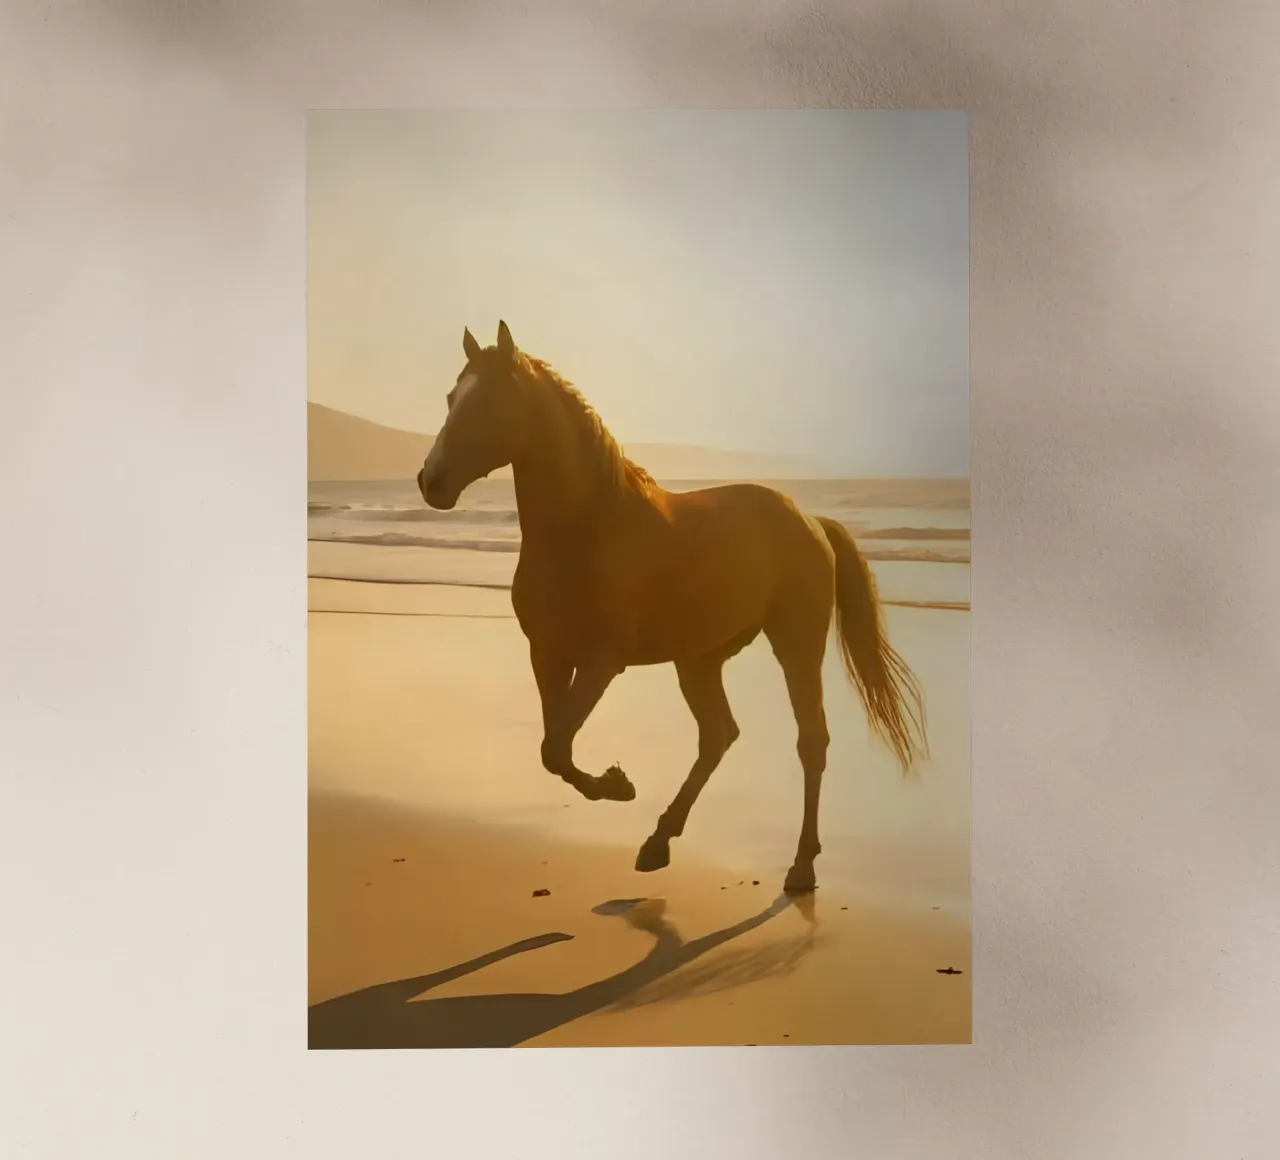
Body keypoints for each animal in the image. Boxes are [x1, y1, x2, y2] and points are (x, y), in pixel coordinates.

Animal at [417, 321, 927, 893]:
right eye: (451, 398)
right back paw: (658, 842)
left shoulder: (601, 662)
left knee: (809, 743)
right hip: (698, 660)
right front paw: (617, 784)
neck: (587, 528)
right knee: (718, 737)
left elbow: (558, 746)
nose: (430, 481)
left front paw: (617, 784)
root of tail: (809, 519)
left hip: (796, 647)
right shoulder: (547, 656)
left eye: (490, 401)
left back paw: (800, 866)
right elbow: (554, 748)